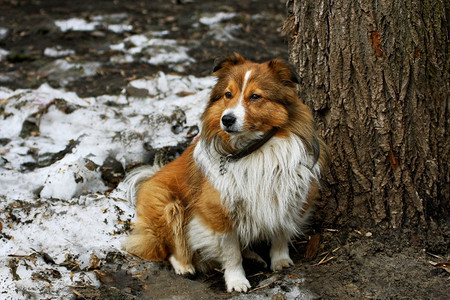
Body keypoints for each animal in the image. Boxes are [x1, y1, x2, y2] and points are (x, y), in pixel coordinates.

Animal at [125, 52, 328, 292]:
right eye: (228, 94)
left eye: (255, 96)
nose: (227, 119)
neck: (253, 149)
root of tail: (150, 177)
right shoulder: (217, 211)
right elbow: (231, 253)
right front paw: (236, 281)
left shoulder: (286, 196)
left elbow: (281, 232)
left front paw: (280, 260)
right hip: (167, 205)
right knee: (168, 247)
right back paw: (184, 265)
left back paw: (253, 256)